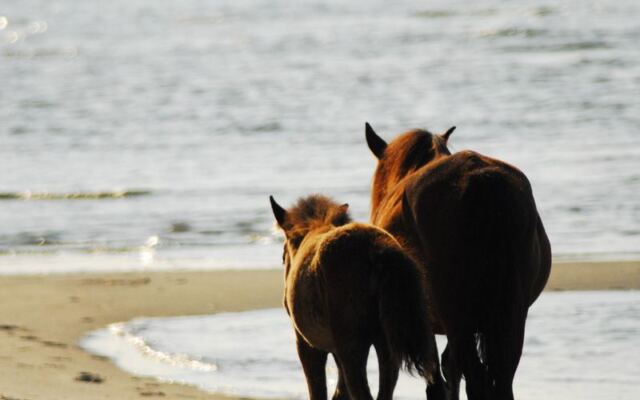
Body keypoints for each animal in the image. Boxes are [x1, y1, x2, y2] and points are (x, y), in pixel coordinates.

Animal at [365, 123, 552, 400]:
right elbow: (450, 369)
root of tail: (481, 181)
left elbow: (437, 380)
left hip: (458, 318)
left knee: (476, 381)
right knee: (500, 381)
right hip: (511, 316)